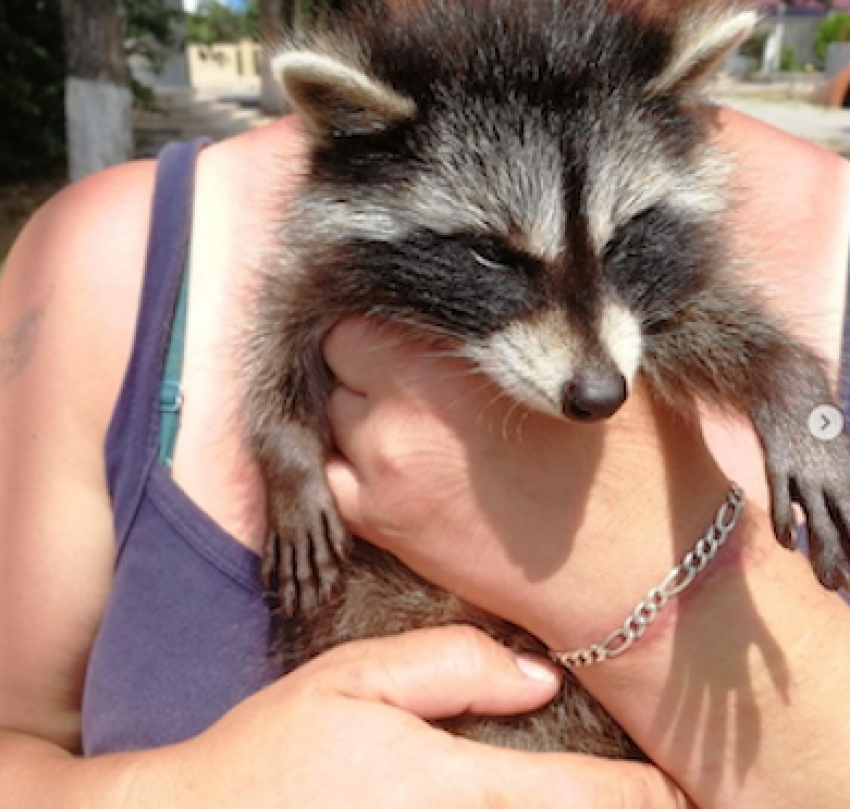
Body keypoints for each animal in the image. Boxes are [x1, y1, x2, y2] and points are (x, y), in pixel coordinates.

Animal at [245, 1, 848, 756]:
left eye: (622, 241)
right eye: (492, 255)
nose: (600, 396)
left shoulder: (645, 305)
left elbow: (699, 318)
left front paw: (786, 378)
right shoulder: (321, 253)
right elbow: (278, 319)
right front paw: (286, 454)